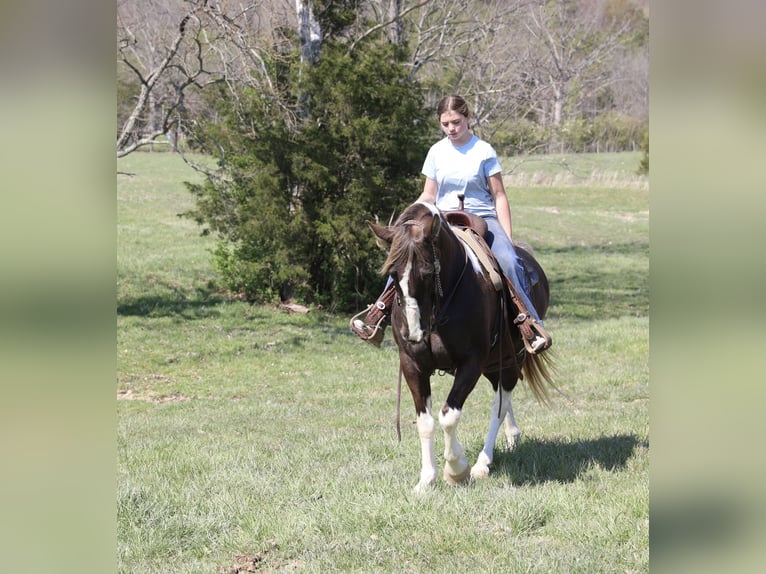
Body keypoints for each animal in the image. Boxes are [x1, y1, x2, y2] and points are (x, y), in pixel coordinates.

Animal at [368, 201, 554, 492]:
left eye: (427, 273)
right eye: (392, 275)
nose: (413, 333)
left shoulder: (471, 363)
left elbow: (449, 415)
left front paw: (456, 469)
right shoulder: (412, 364)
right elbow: (426, 421)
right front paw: (426, 479)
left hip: (509, 359)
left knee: (500, 403)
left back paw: (482, 463)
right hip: (494, 365)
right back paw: (512, 436)